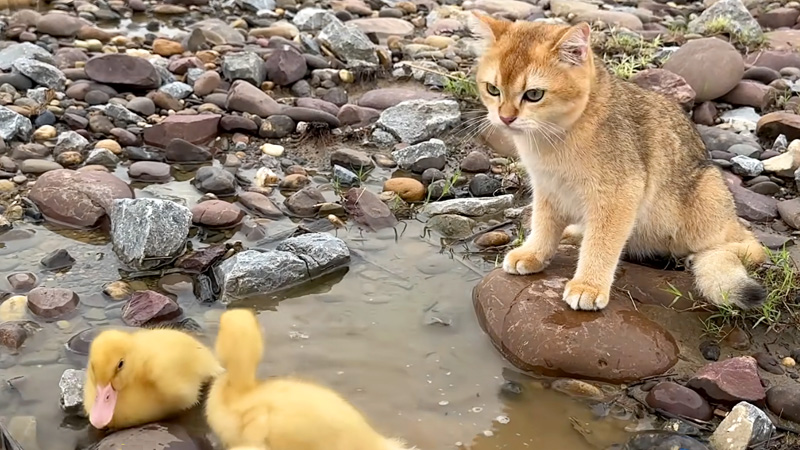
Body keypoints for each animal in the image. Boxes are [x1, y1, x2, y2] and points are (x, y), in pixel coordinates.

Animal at [472, 12, 764, 312]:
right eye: (493, 89)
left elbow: (603, 241)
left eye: (533, 94)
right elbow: (543, 224)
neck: (555, 139)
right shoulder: (548, 187)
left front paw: (588, 285)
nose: (505, 118)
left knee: (752, 244)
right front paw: (533, 253)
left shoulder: (619, 194)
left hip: (705, 199)